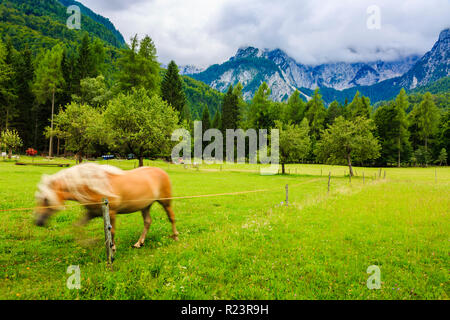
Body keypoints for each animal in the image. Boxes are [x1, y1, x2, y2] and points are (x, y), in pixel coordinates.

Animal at [33, 164, 179, 251]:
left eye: (46, 199)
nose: (38, 222)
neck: (93, 185)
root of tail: (161, 171)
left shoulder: (112, 212)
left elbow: (112, 231)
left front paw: (112, 247)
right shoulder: (91, 213)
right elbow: (77, 227)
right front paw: (89, 243)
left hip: (165, 202)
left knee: (171, 217)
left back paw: (175, 237)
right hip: (146, 205)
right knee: (148, 222)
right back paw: (139, 243)